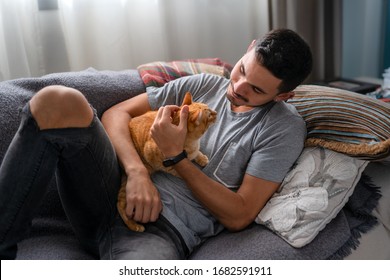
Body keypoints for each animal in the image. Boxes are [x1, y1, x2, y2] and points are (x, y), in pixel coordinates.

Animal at [117, 92, 218, 232]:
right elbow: (178, 170)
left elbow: (196, 154)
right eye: (209, 115)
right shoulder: (156, 157)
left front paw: (201, 158)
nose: (216, 112)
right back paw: (135, 226)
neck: (192, 143)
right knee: (119, 204)